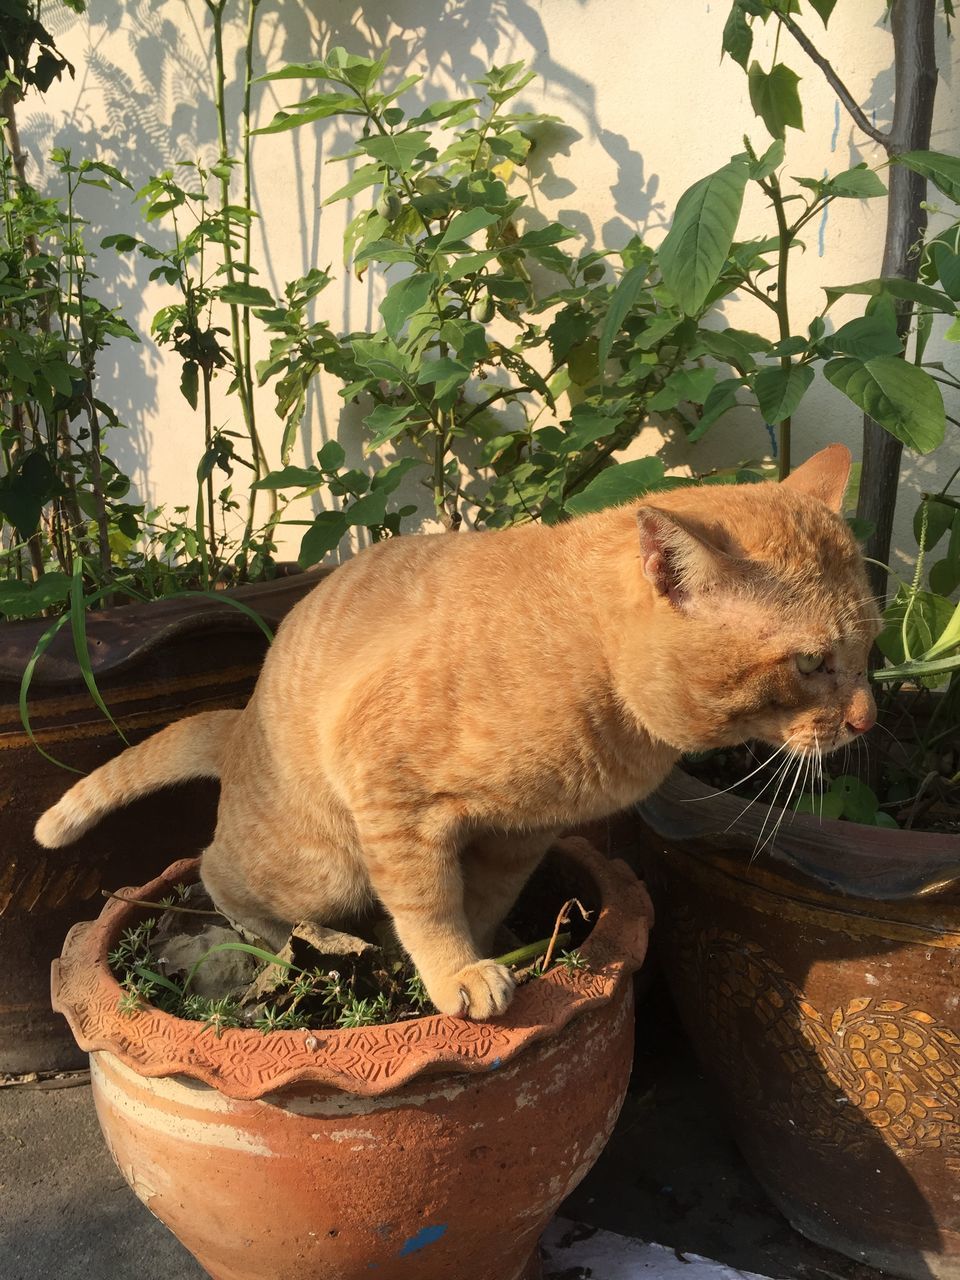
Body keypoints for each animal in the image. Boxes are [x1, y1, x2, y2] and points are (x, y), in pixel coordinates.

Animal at [35, 445, 880, 1013]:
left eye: (871, 646)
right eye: (811, 661)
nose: (868, 717)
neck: (592, 661)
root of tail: (241, 723)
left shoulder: (519, 835)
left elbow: (482, 902)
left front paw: (488, 952)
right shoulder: (397, 800)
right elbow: (429, 905)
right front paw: (457, 975)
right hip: (321, 867)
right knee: (214, 871)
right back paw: (279, 944)